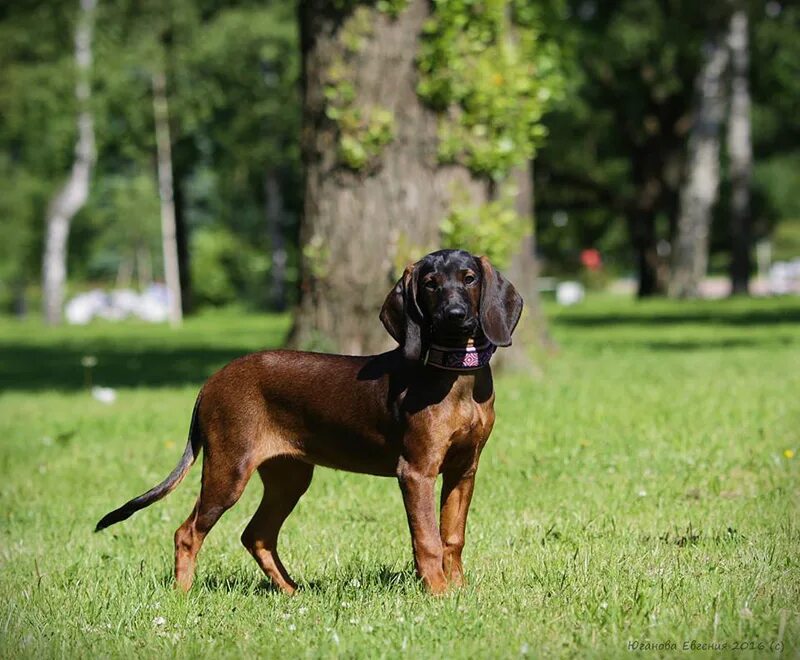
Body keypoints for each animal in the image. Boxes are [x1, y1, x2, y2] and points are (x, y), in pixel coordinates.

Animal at [97, 250, 520, 596]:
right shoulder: (416, 471)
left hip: (290, 477)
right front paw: (439, 593)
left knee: (256, 535)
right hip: (228, 470)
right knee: (187, 533)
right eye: (430, 284)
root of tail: (209, 383)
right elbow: (427, 539)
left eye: (469, 278)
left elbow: (452, 537)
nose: (455, 316)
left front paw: (460, 591)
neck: (455, 375)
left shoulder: (464, 469)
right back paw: (182, 596)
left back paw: (292, 591)